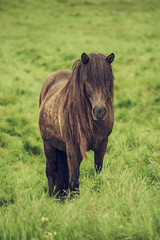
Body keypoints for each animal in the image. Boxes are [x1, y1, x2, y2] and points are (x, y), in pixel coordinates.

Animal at [39, 51, 115, 196]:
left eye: (107, 79)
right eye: (87, 80)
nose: (100, 111)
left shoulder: (102, 145)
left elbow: (98, 174)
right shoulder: (72, 148)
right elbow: (74, 181)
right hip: (48, 144)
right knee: (50, 171)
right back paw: (52, 196)